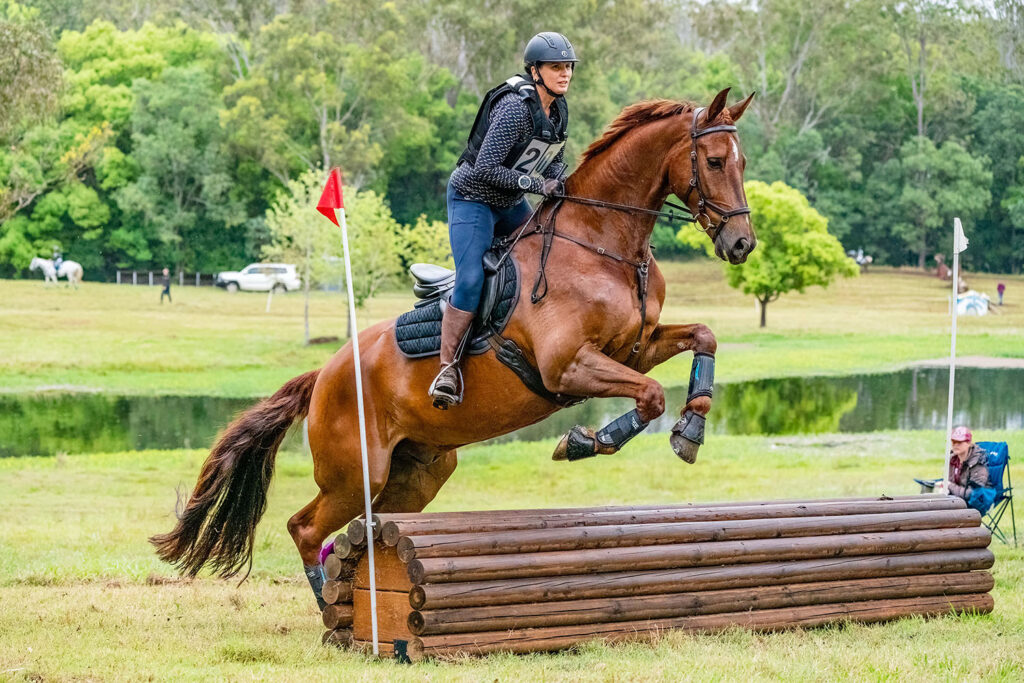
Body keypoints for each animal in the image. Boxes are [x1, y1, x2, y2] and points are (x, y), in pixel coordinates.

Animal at [151, 87, 761, 602]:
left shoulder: (635, 347)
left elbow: (702, 338)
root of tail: (322, 375)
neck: (601, 246)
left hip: (415, 474)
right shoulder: (568, 367)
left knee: (361, 526)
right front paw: (583, 441)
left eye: (742, 163)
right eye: (713, 162)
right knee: (304, 527)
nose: (742, 244)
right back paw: (330, 606)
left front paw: (691, 428)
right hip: (356, 471)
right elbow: (650, 397)